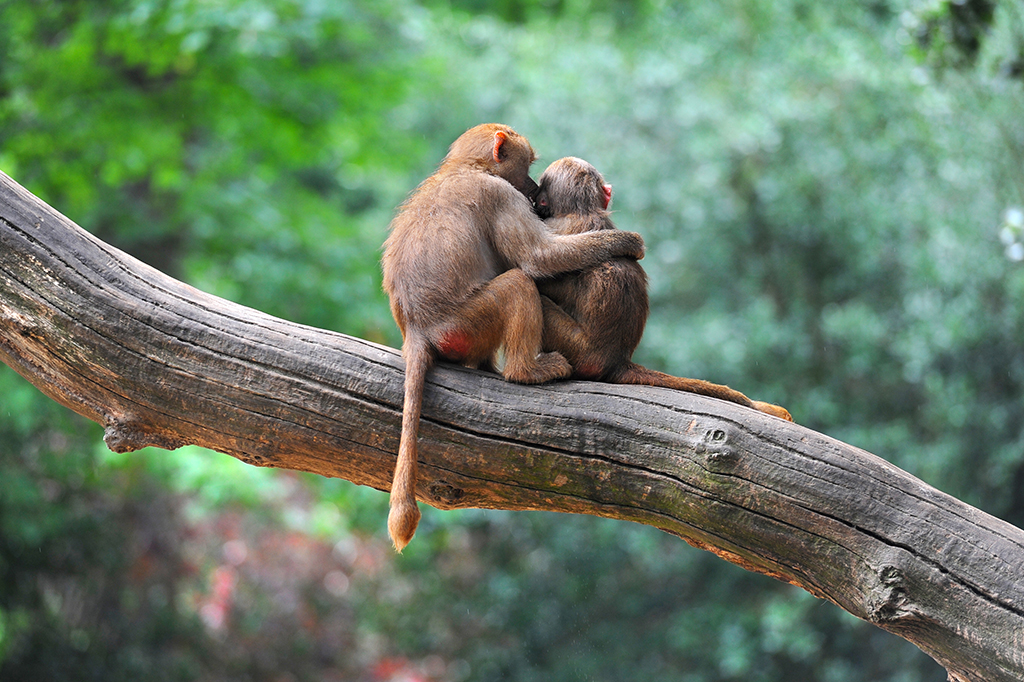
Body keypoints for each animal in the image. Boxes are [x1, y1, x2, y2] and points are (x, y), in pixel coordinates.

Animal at [380, 123, 643, 548]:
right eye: (529, 165)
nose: (534, 190)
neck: (465, 168)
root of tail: (416, 328)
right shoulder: (500, 195)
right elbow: (537, 260)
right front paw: (629, 243)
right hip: (465, 323)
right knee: (519, 283)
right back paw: (526, 371)